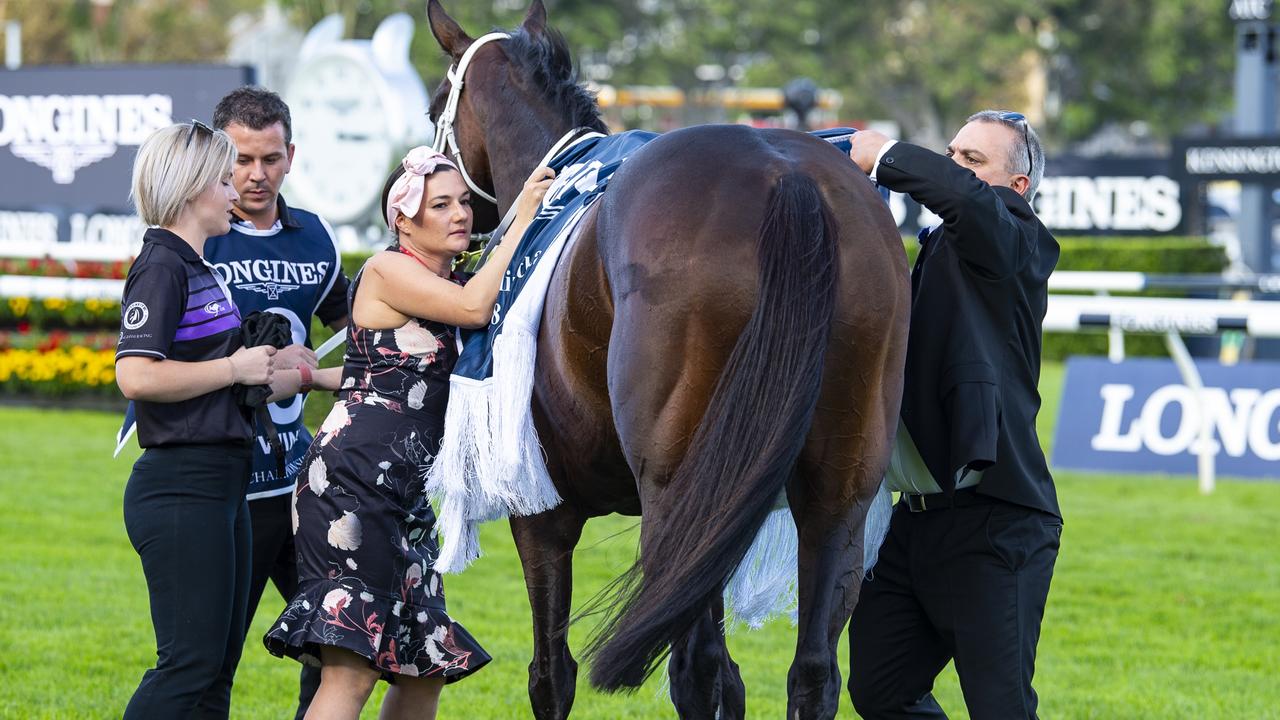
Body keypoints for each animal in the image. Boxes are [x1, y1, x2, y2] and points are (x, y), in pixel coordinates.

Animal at [430, 2, 911, 712]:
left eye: (438, 103)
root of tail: (789, 178)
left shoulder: (542, 511)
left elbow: (551, 673)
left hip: (681, 492)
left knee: (695, 666)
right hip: (836, 486)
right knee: (813, 668)